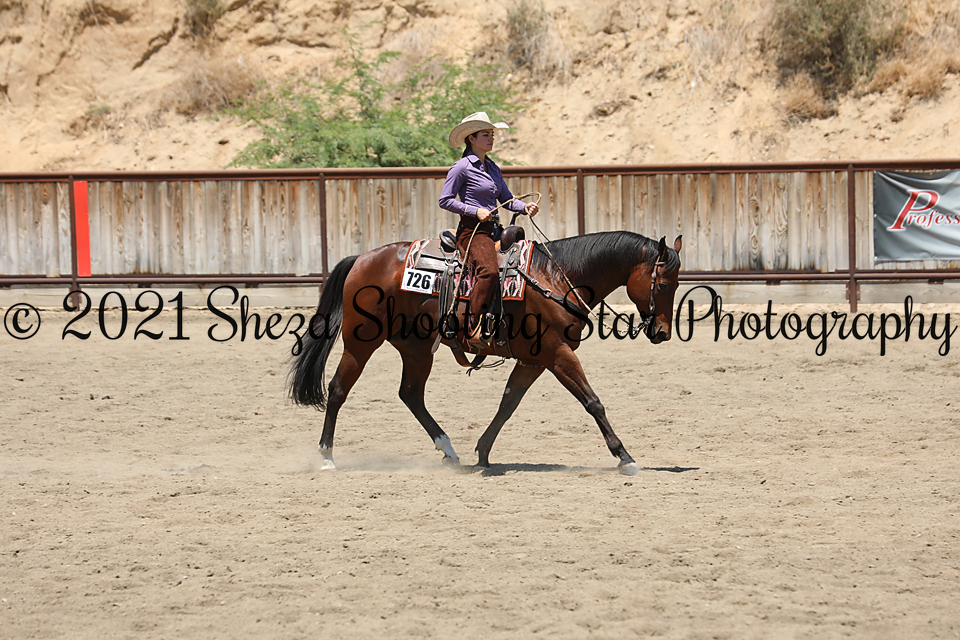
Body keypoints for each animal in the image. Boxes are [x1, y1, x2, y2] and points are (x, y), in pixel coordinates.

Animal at [289, 230, 683, 475]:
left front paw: (483, 451)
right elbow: (593, 401)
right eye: (664, 285)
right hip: (361, 342)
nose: (662, 332)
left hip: (417, 349)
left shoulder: (534, 360)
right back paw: (327, 456)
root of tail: (361, 259)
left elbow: (508, 404)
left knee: (410, 394)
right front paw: (624, 456)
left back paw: (449, 450)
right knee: (338, 390)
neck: (555, 276)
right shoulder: (557, 354)